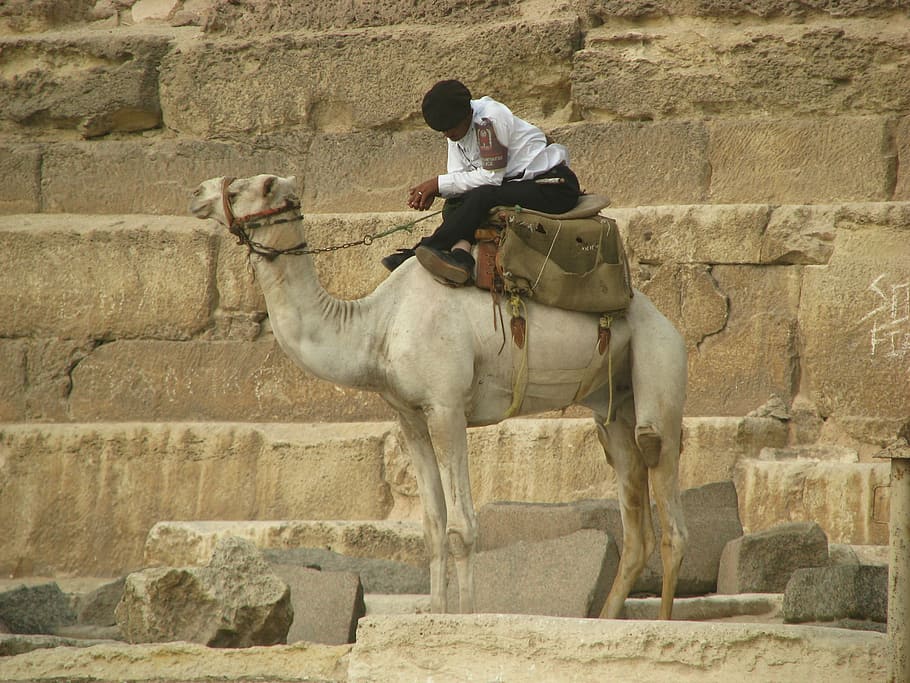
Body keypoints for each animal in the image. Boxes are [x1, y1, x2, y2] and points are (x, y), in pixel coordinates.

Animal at [189, 173, 688, 620]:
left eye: (248, 187)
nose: (196, 192)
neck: (377, 327)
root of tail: (665, 320)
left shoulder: (446, 407)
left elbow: (462, 527)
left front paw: (465, 618)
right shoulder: (410, 416)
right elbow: (432, 527)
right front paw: (434, 612)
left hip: (660, 363)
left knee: (667, 502)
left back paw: (662, 624)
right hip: (614, 405)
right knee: (634, 518)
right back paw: (606, 619)